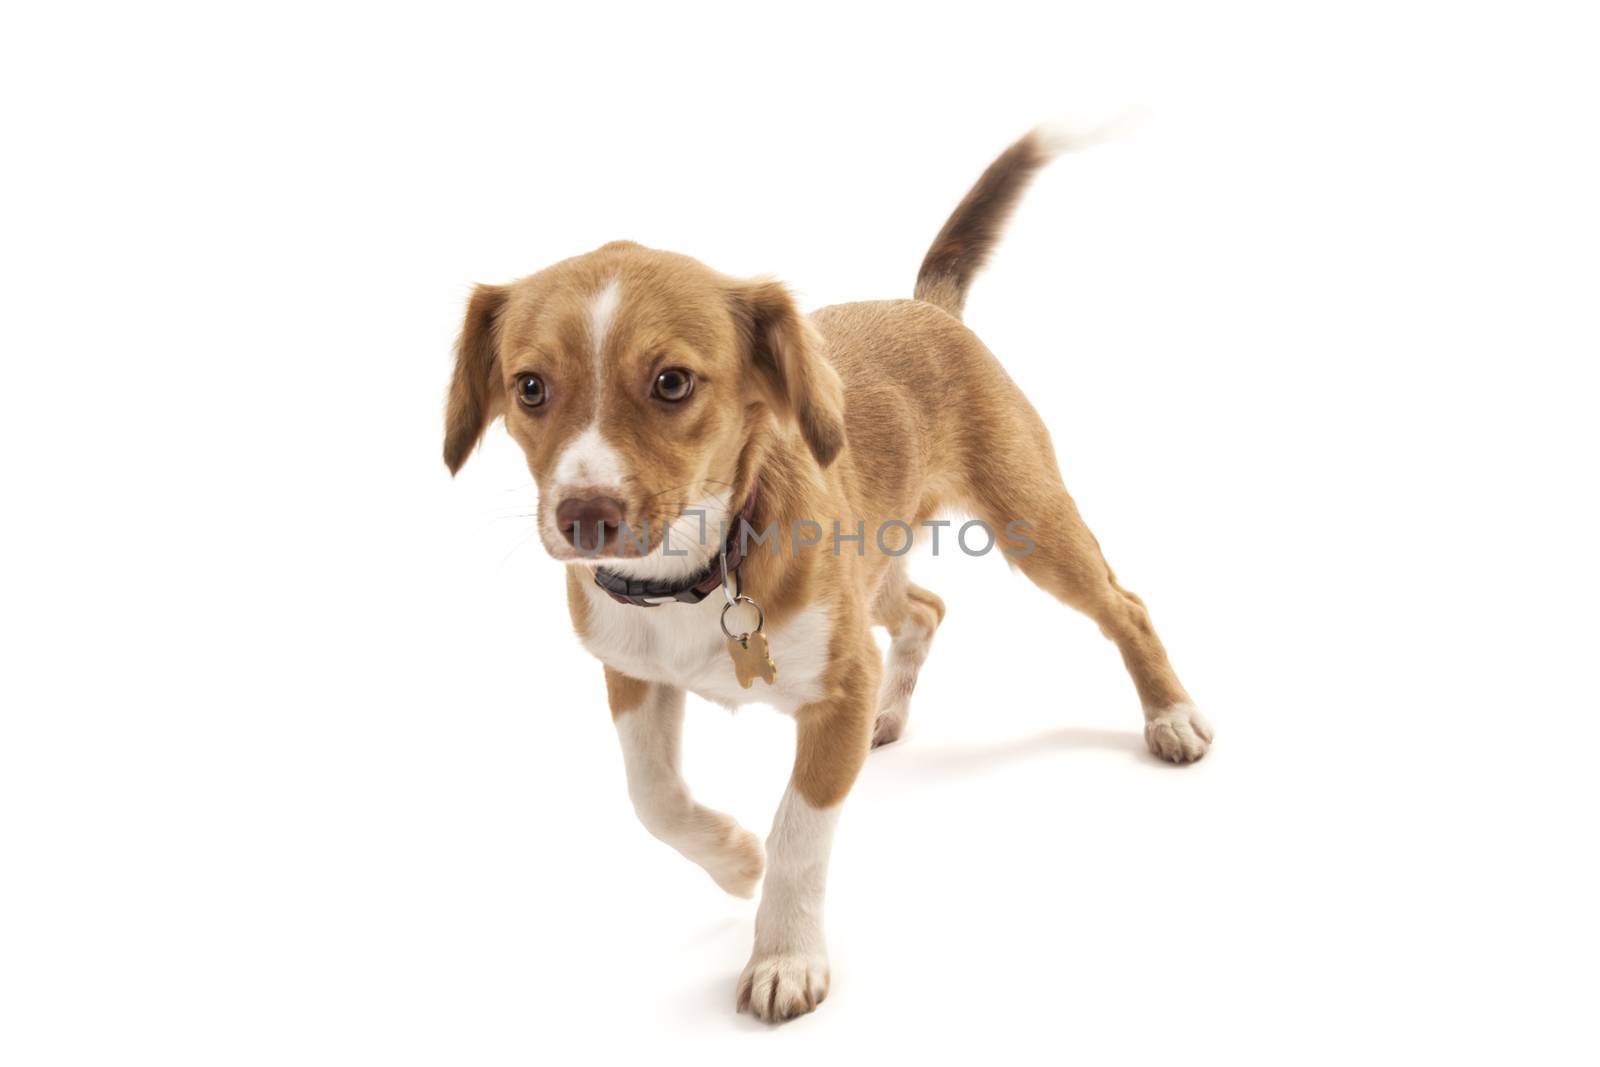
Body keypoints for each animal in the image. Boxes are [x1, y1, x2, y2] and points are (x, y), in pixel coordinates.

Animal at [438, 127, 1209, 1023]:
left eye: (673, 382)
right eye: (529, 387)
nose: (583, 516)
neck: (697, 574)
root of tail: (925, 306)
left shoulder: (837, 685)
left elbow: (799, 832)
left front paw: (784, 955)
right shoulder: (632, 674)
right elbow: (653, 795)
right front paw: (734, 859)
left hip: (1036, 526)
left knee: (1125, 605)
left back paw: (1172, 715)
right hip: (877, 569)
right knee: (927, 608)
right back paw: (892, 708)